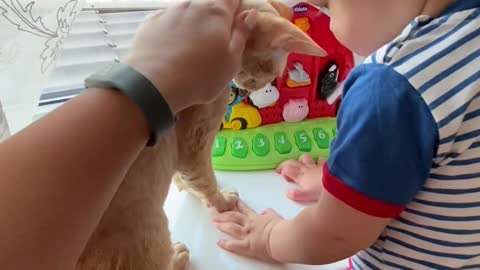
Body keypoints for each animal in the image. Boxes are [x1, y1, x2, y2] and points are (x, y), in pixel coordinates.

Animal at [76, 0, 326, 270]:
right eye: (269, 73)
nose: (254, 90)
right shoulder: (195, 144)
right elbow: (205, 179)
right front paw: (222, 202)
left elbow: (187, 178)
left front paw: (190, 188)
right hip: (150, 230)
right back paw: (177, 257)